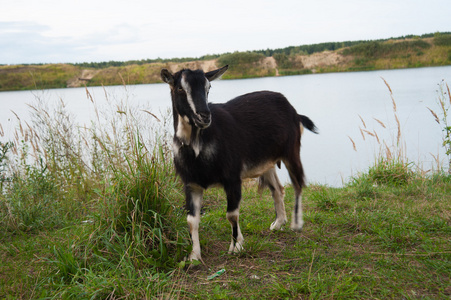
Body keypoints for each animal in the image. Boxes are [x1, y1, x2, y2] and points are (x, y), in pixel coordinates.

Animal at [161, 65, 316, 260]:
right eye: (181, 88)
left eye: (208, 87)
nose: (204, 116)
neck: (198, 146)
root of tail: (294, 111)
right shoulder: (191, 184)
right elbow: (191, 220)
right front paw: (194, 256)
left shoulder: (232, 178)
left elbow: (231, 215)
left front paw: (236, 247)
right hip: (267, 162)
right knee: (277, 189)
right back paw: (278, 223)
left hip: (291, 151)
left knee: (298, 184)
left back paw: (296, 224)